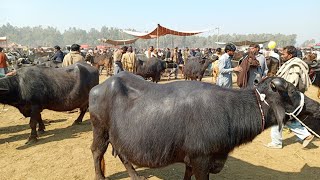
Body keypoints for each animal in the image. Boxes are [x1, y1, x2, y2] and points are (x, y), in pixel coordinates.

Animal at [89, 71, 302, 180]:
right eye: (291, 91)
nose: (307, 103)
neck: (227, 110)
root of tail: (98, 88)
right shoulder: (201, 160)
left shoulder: (192, 159)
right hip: (100, 130)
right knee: (97, 152)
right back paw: (100, 177)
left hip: (119, 135)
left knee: (123, 153)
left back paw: (135, 176)